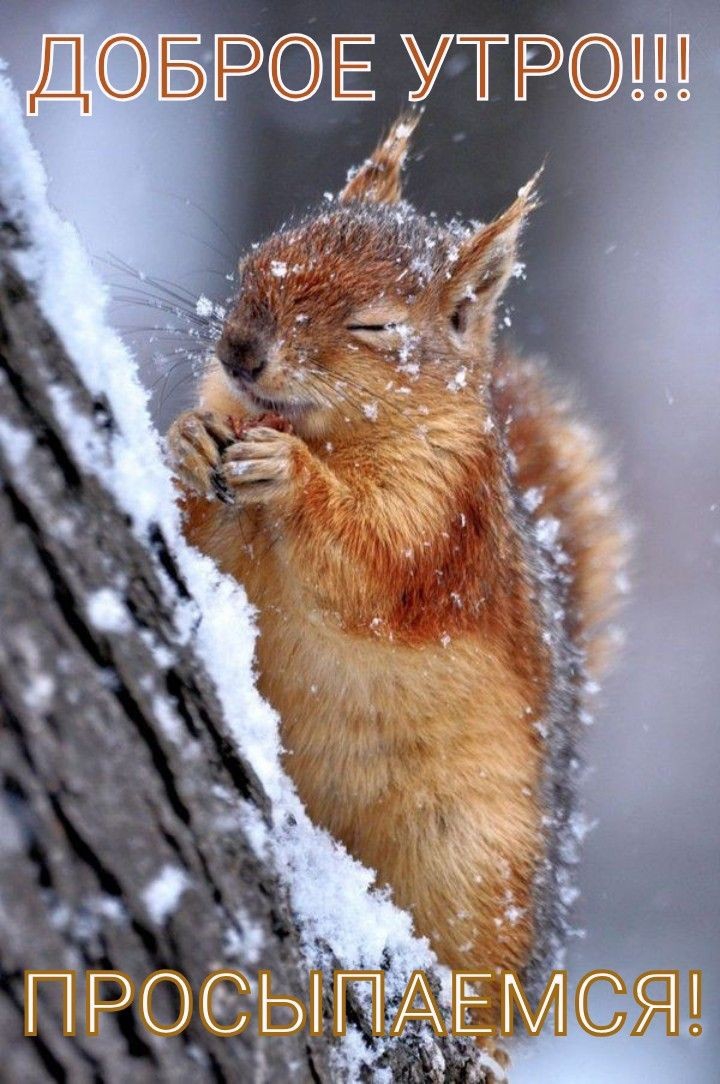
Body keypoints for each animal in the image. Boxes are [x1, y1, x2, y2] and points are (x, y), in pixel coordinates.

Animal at [167, 114, 626, 1037]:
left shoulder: (444, 524)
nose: (239, 350)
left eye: (375, 329)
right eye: (262, 255)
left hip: (470, 859)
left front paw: (294, 477)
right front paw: (192, 440)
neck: (329, 433)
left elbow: (372, 564)